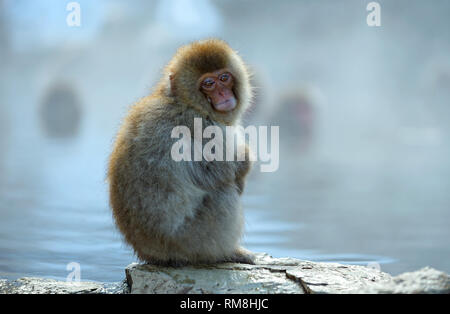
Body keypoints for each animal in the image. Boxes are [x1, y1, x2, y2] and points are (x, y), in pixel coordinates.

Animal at [106, 38, 253, 264]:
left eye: (224, 78)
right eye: (208, 83)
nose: (223, 94)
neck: (184, 101)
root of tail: (150, 253)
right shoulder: (200, 124)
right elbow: (213, 172)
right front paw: (244, 160)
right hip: (192, 239)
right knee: (224, 193)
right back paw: (226, 253)